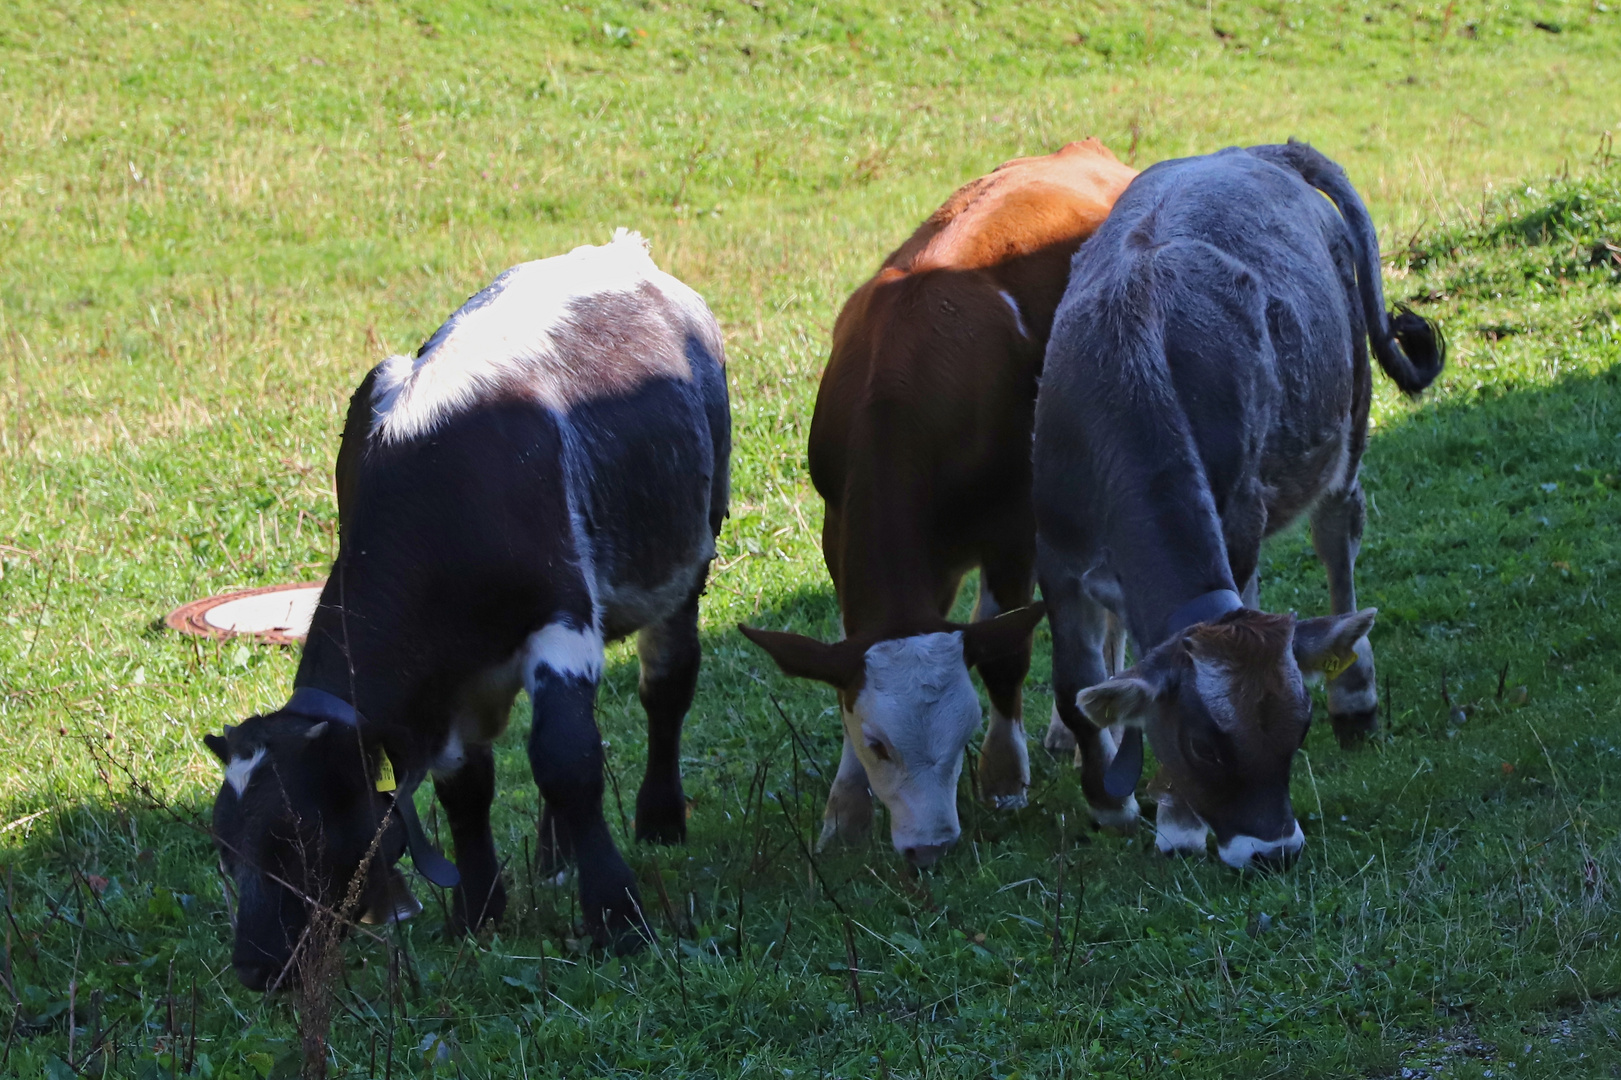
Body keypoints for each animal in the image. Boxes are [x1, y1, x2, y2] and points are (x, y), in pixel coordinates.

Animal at [205, 228, 732, 985]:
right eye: (225, 846)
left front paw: (617, 914)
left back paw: (659, 818)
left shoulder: (562, 625)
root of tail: (619, 251)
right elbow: (466, 785)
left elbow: (566, 760)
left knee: (666, 686)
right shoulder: (449, 688)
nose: (254, 965)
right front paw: (478, 909)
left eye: (296, 835)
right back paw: (555, 856)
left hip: (689, 557)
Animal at [742, 141, 1134, 869]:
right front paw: (844, 813)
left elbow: (1006, 651)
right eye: (877, 743)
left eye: (963, 732)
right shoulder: (843, 531)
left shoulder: (1012, 528)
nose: (931, 847)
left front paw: (1003, 776)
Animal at [1030, 141, 1439, 869]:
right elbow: (1076, 685)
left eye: (1296, 731)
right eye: (1203, 745)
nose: (1272, 850)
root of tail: (1251, 150)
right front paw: (1110, 802)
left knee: (1337, 538)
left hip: (1348, 418)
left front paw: (1175, 817)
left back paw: (1355, 696)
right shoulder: (1056, 552)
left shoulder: (1238, 517)